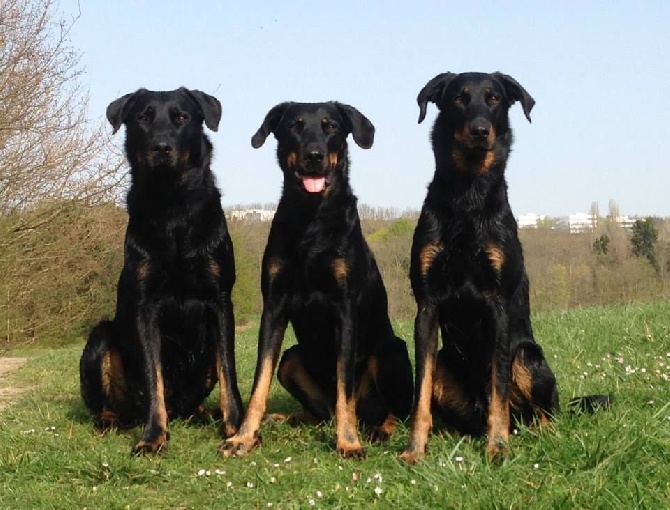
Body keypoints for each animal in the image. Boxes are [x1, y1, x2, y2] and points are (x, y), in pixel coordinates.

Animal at [80, 88, 244, 454]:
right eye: (143, 117)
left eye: (182, 117)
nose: (161, 147)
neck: (173, 208)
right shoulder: (146, 307)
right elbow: (152, 376)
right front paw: (154, 435)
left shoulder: (219, 301)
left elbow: (229, 374)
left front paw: (238, 428)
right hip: (100, 338)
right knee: (111, 405)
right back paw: (111, 422)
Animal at [220, 99, 414, 458]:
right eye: (294, 126)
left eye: (330, 126)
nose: (314, 155)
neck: (311, 219)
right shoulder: (274, 306)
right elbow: (259, 380)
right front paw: (243, 436)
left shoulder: (345, 309)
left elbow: (344, 387)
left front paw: (349, 442)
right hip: (292, 358)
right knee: (319, 411)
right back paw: (284, 419)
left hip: (390, 350)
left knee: (390, 410)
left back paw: (380, 429)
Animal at [400, 72, 560, 462]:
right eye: (459, 98)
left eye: (494, 98)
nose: (479, 130)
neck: (467, 196)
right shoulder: (427, 306)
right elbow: (420, 392)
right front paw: (415, 449)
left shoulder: (497, 304)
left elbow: (498, 390)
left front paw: (498, 447)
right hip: (446, 362)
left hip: (527, 356)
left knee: (543, 411)